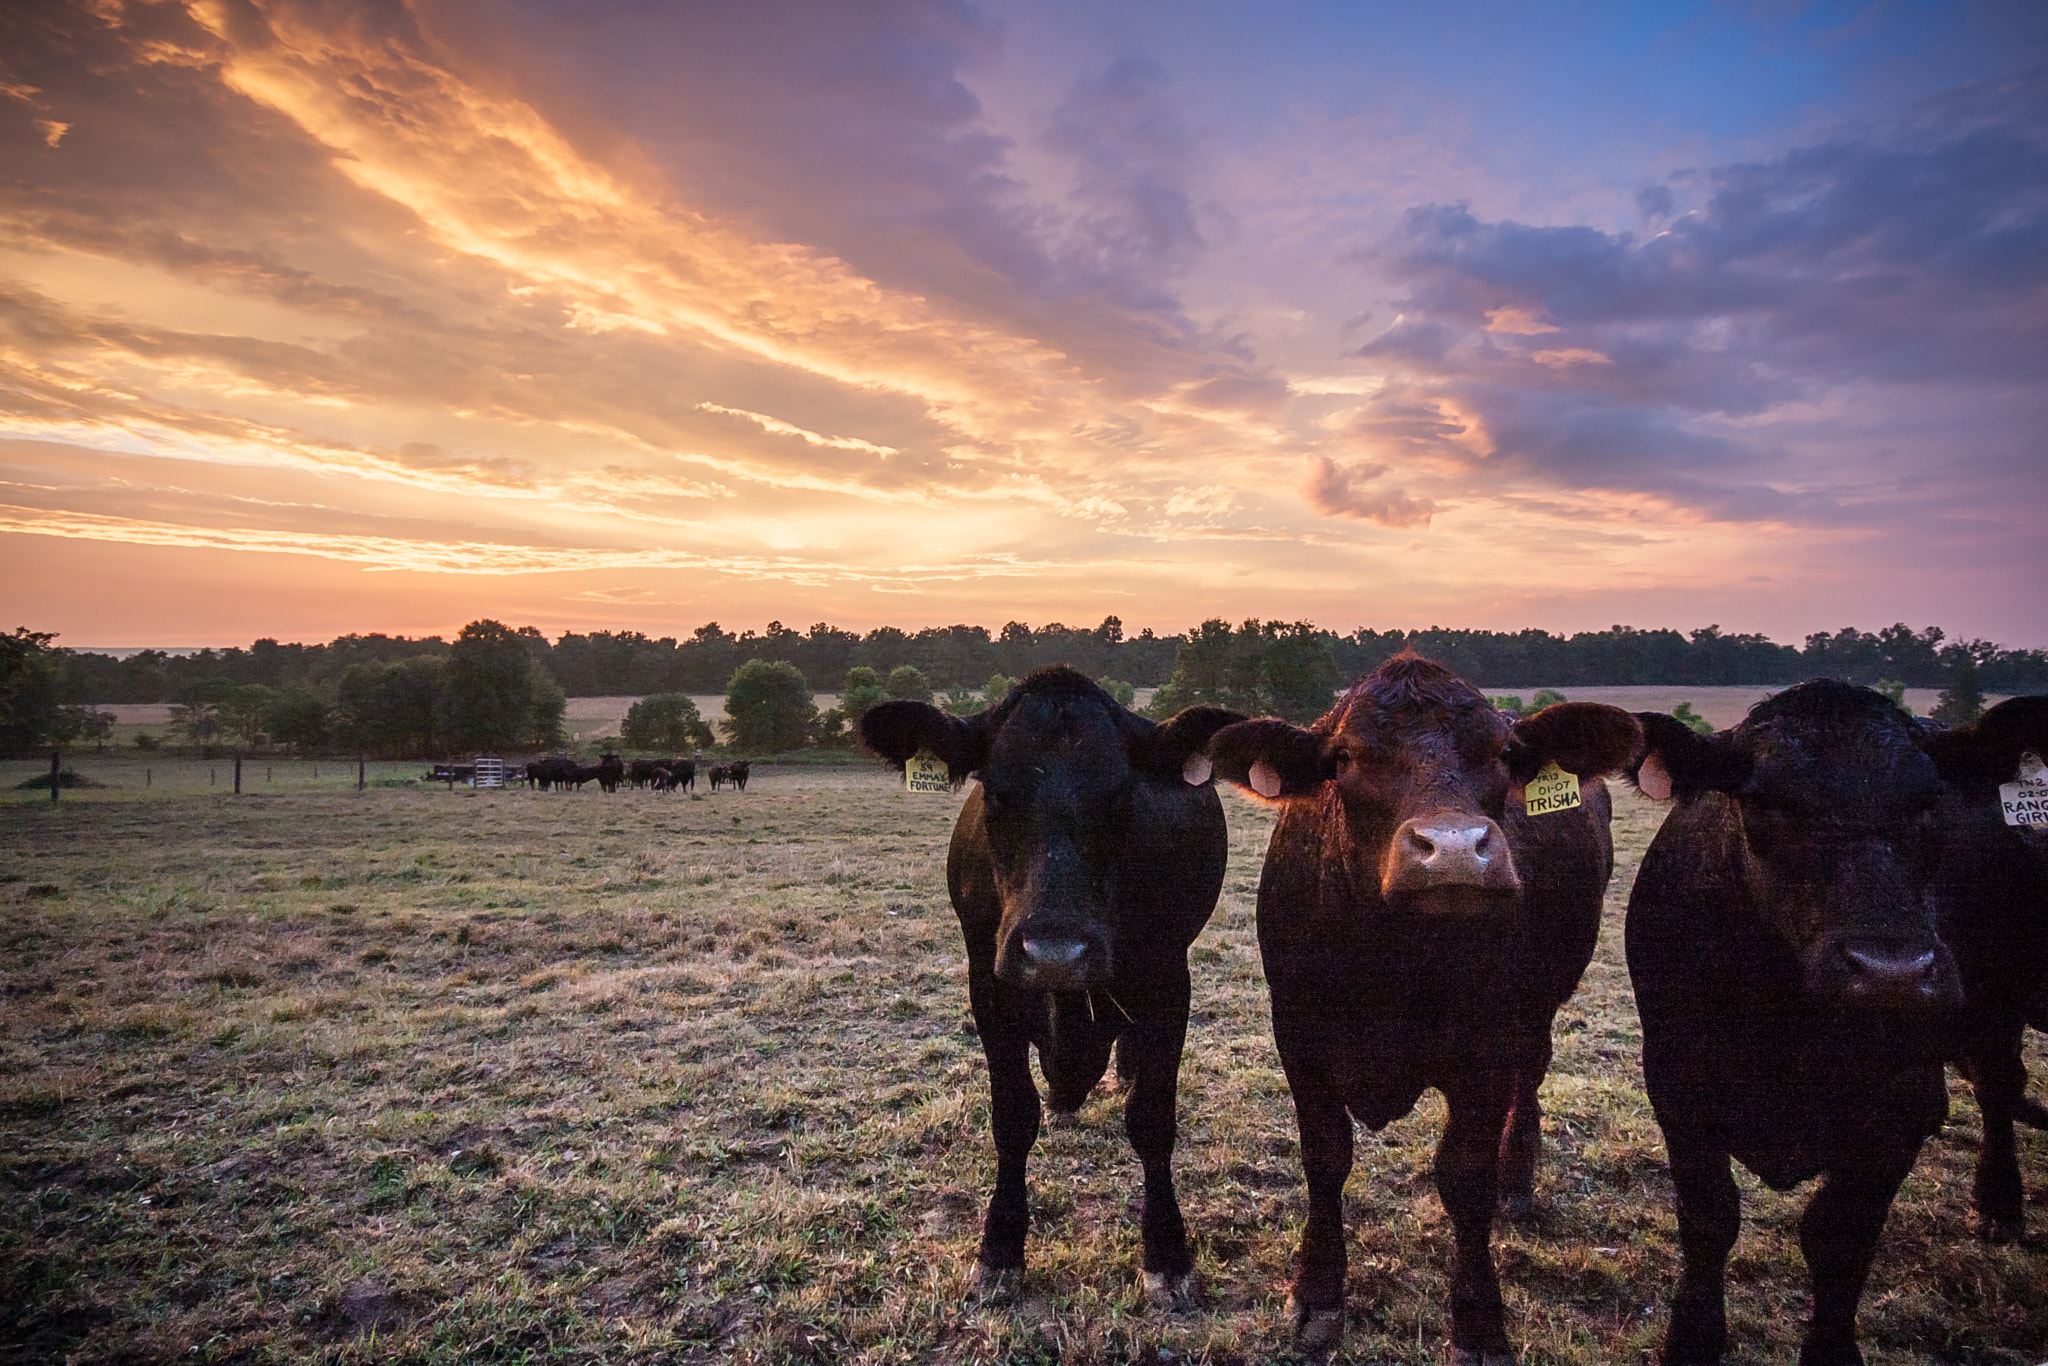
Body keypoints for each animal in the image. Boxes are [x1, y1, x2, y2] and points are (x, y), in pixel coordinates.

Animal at [860, 671, 1236, 1302]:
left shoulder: (1168, 980)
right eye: (995, 793)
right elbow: (1013, 1115)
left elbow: (1152, 1119)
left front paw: (1167, 1253)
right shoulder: (989, 984)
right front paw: (1000, 1248)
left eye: (1120, 795)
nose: (1054, 950)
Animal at [1204, 655, 1638, 1359]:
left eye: (1504, 753)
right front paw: (1317, 1292)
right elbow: (1325, 1158)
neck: (1396, 964)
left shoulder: (1488, 1050)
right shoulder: (1298, 1036)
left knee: (1532, 1076)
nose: (1455, 851)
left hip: (1542, 1004)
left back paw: (1518, 1181)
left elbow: (1465, 1179)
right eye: (1345, 756)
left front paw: (1480, 1321)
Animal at [1622, 684, 1974, 1366]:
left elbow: (1839, 1237)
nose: (1890, 974)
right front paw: (1693, 1337)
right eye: (1765, 803)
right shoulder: (1678, 1087)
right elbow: (1710, 1217)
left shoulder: (1908, 1107)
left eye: (1930, 802)